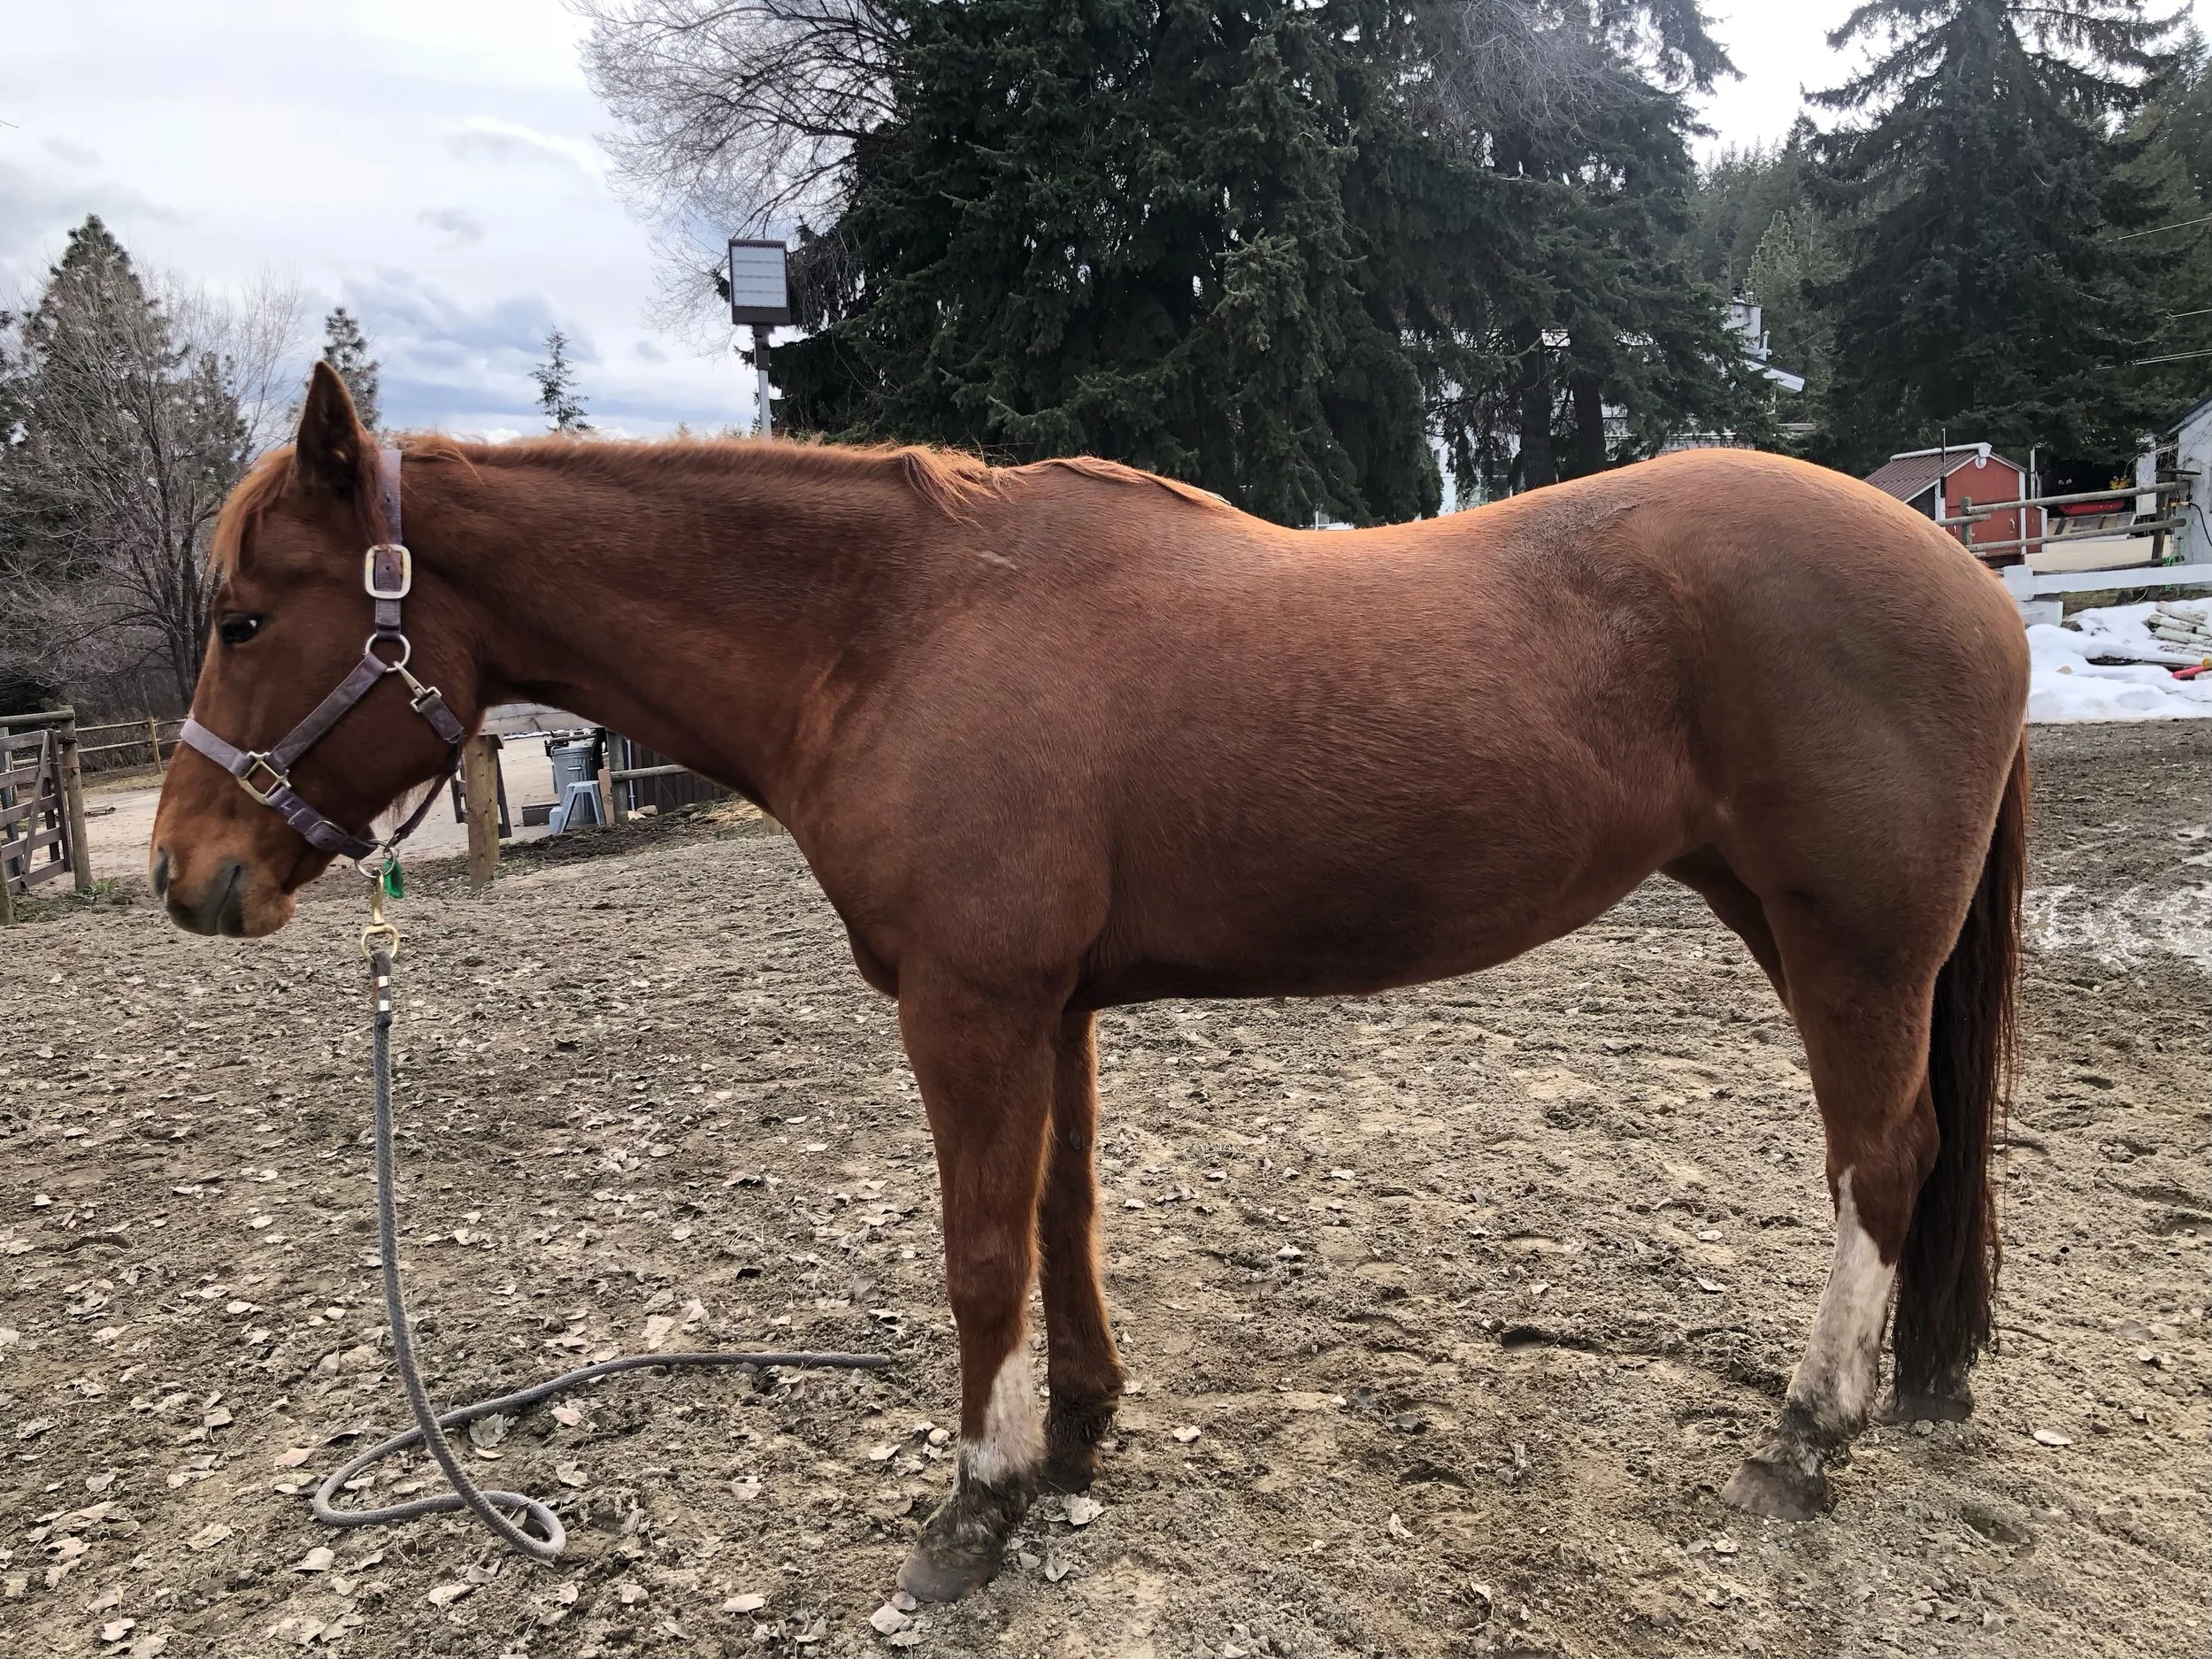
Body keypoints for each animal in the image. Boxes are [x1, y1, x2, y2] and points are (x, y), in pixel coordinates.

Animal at [152, 362, 2028, 1600]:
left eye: (246, 616)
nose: (185, 875)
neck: (895, 628)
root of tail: (1965, 575)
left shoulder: (966, 1007)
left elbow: (982, 1252)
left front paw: (973, 1508)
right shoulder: (1047, 1007)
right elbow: (1062, 1220)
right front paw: (1074, 1434)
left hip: (1850, 945)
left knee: (1882, 1164)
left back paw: (1808, 1435)